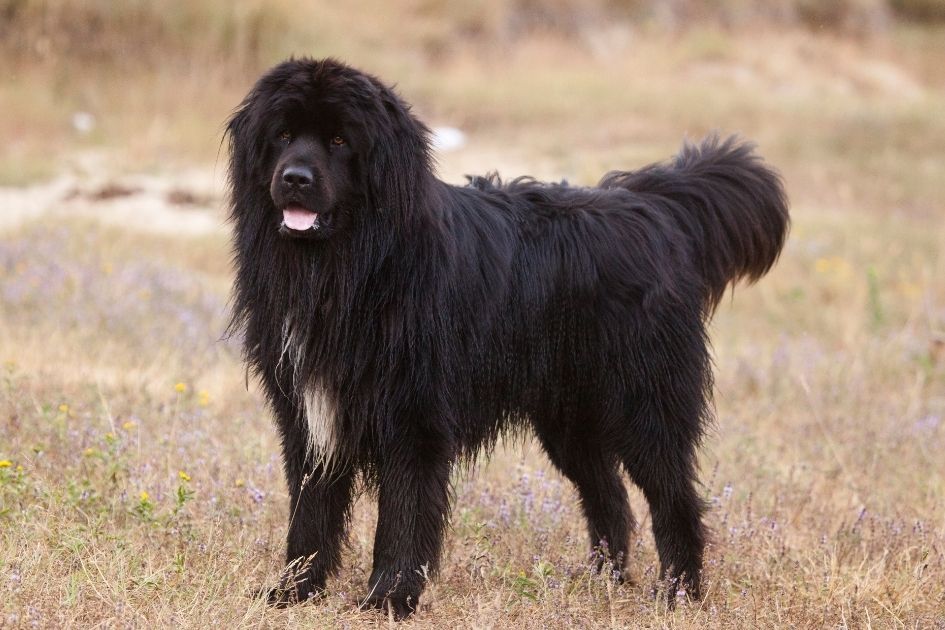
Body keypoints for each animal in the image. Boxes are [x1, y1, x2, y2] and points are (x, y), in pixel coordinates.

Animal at [227, 56, 788, 620]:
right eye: (283, 135)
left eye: (340, 140)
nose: (294, 178)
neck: (355, 266)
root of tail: (650, 207)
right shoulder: (308, 415)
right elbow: (311, 515)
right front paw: (293, 591)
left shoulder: (413, 419)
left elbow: (402, 517)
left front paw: (388, 598)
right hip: (570, 418)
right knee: (609, 497)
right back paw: (601, 581)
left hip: (644, 404)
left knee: (674, 498)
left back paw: (677, 593)